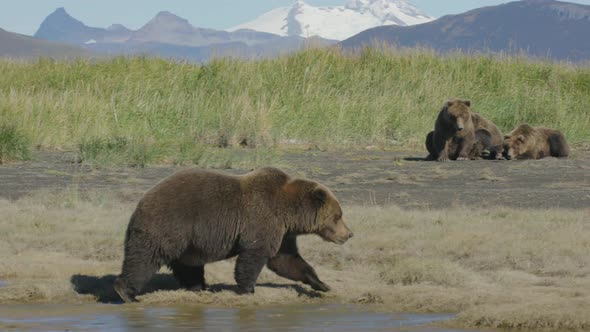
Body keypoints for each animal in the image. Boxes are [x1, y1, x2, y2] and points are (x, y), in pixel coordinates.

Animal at [114, 167, 354, 302]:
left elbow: (287, 261)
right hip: (170, 226)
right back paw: (126, 292)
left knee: (187, 265)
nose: (349, 234)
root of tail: (141, 202)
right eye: (338, 215)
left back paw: (199, 287)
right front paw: (248, 289)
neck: (289, 212)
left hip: (189, 241)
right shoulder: (262, 218)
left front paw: (322, 284)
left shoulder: (283, 232)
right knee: (145, 258)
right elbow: (254, 256)